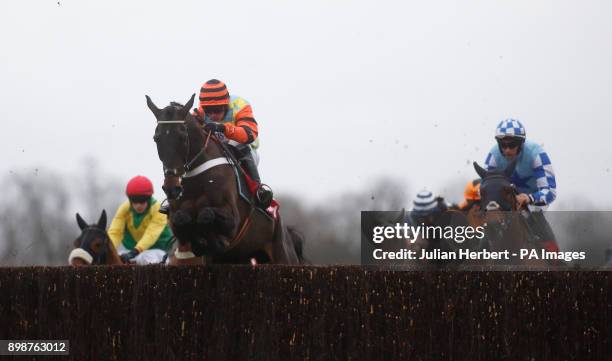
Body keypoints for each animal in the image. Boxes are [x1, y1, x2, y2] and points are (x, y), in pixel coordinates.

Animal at [144, 94, 306, 264]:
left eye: (182, 136)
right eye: (156, 138)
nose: (171, 188)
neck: (198, 179)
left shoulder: (233, 220)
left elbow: (206, 214)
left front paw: (211, 240)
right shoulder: (175, 220)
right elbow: (181, 219)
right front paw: (198, 240)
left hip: (282, 254)